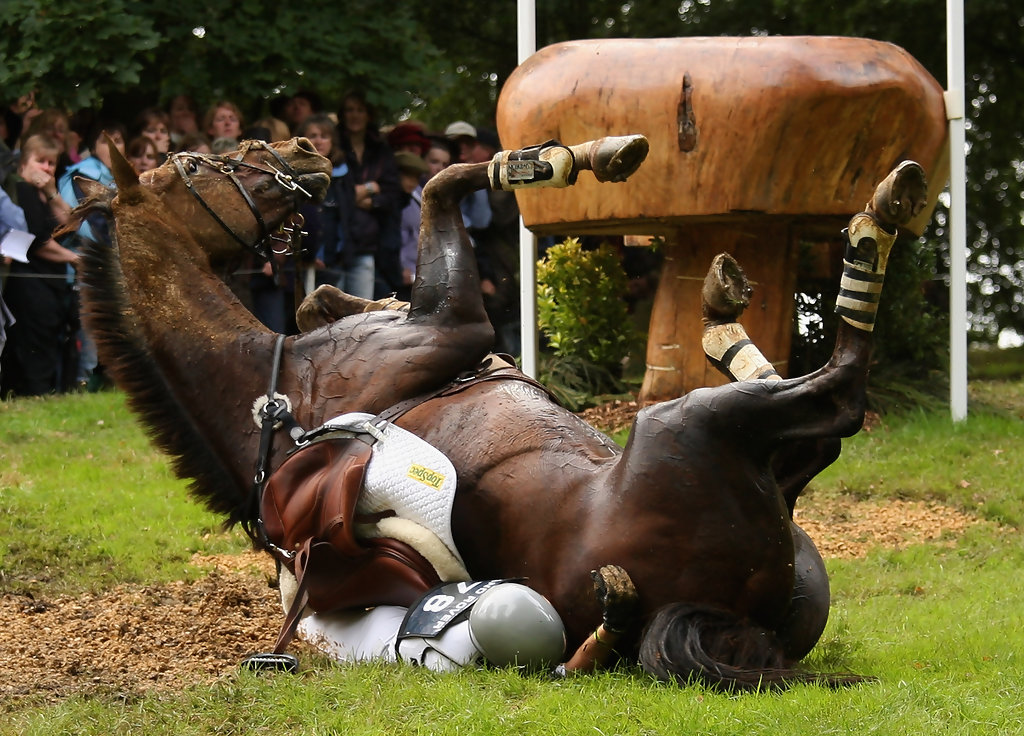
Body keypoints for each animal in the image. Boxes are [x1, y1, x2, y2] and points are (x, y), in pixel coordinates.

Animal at [74, 134, 928, 690]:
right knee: (837, 400)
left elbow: (350, 271)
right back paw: (877, 217)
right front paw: (564, 158)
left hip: (789, 526)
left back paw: (729, 315)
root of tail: (720, 615)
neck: (274, 387)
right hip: (689, 428)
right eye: (193, 165)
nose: (304, 147)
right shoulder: (457, 322)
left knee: (808, 435)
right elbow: (442, 183)